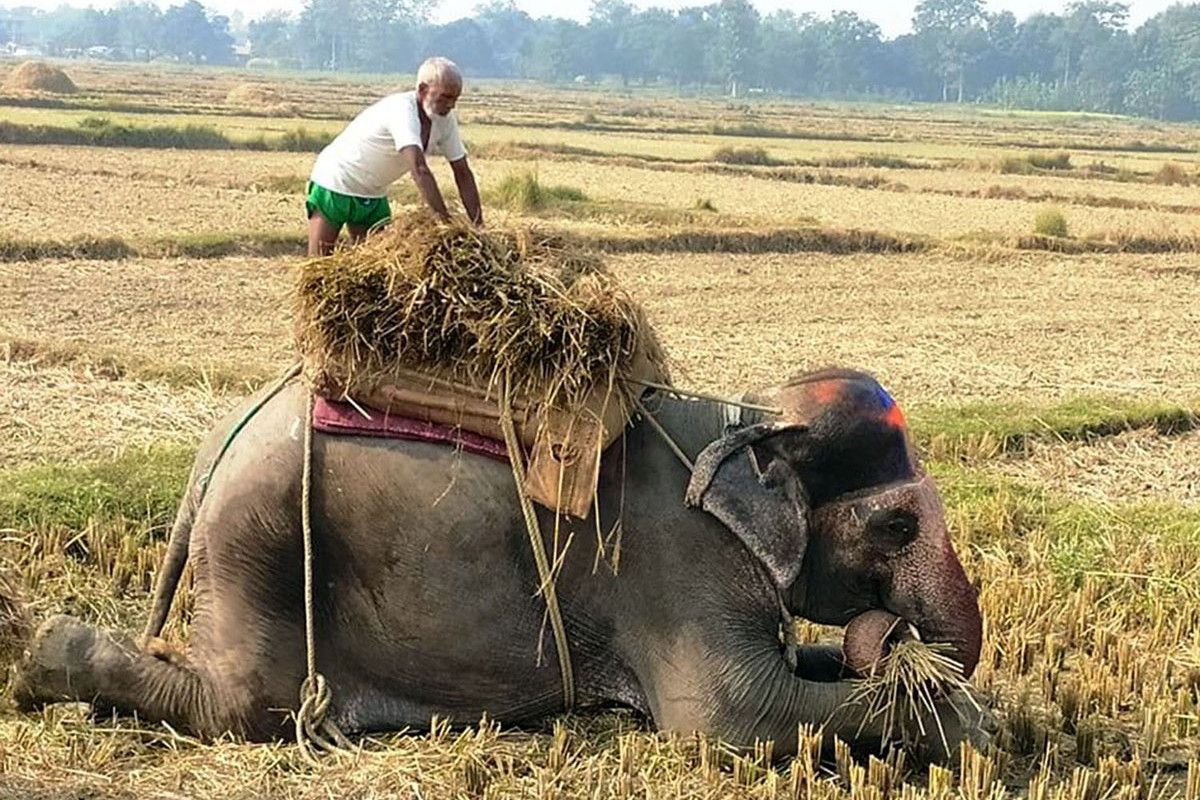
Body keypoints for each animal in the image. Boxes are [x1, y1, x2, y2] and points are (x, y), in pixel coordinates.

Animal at [11, 367, 984, 758]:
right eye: (898, 524)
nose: (898, 634)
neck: (749, 420)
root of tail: (216, 444)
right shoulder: (678, 558)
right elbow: (730, 720)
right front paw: (973, 729)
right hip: (264, 537)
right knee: (248, 704)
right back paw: (39, 660)